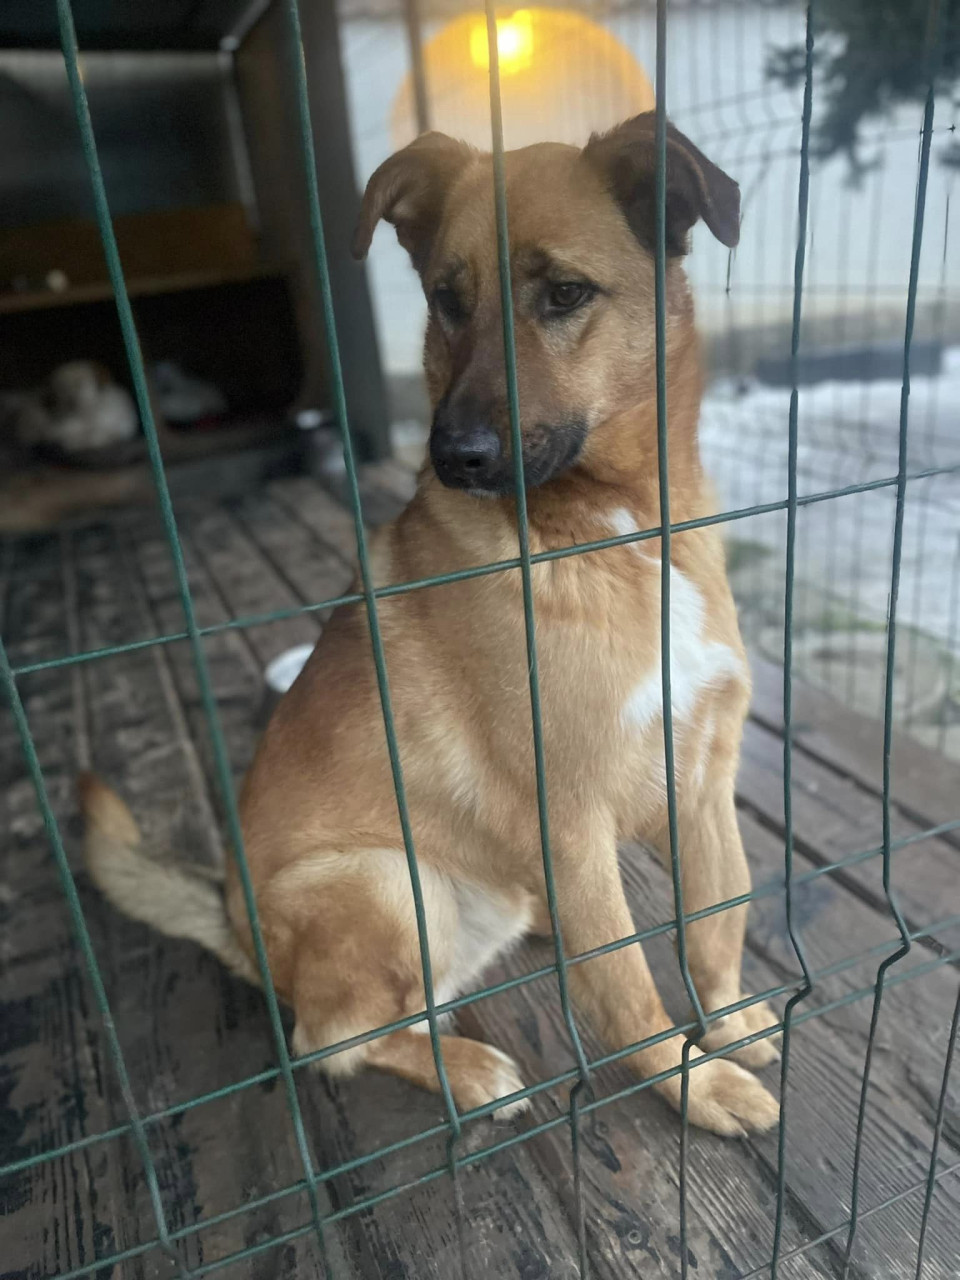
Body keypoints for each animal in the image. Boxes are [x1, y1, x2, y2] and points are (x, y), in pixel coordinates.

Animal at [81, 113, 780, 1136]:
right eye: (448, 301)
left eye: (565, 294)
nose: (456, 457)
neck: (619, 532)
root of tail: (241, 933)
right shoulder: (572, 816)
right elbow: (625, 983)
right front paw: (692, 1080)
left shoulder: (699, 780)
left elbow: (721, 918)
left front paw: (726, 1024)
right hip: (385, 885)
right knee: (334, 1039)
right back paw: (470, 1071)